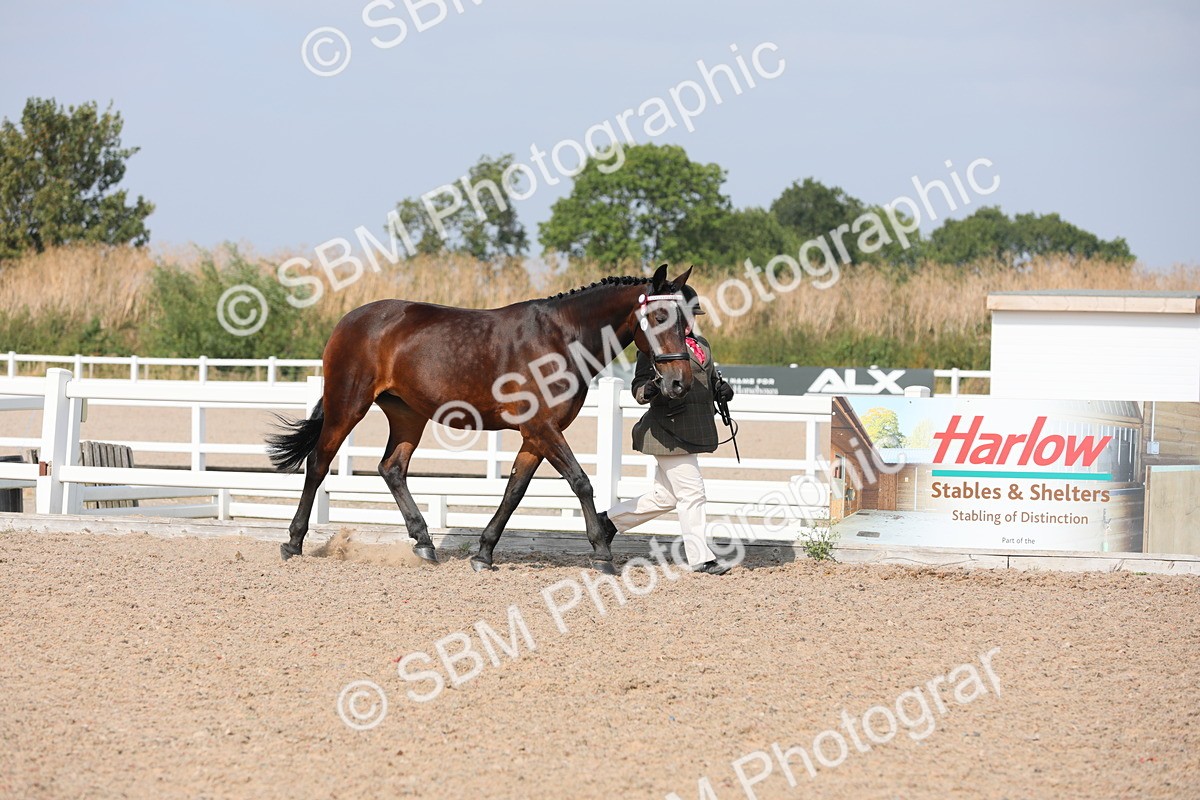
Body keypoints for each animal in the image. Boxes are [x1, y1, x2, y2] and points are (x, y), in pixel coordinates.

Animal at [266, 263, 696, 573]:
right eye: (659, 315)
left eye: (685, 319)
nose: (679, 382)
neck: (560, 338)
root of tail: (348, 320)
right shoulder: (542, 427)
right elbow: (581, 482)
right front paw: (602, 554)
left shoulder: (535, 434)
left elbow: (514, 491)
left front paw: (484, 553)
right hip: (348, 404)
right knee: (319, 462)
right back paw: (293, 542)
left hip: (407, 415)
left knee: (392, 468)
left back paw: (424, 544)